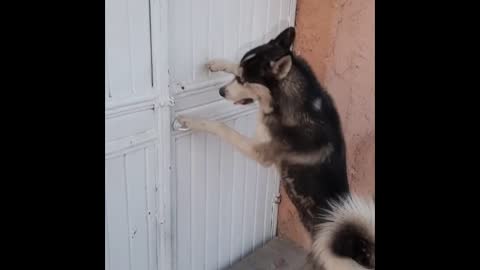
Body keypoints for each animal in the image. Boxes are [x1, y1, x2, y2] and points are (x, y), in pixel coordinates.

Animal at [177, 27, 376, 270]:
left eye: (243, 80)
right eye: (238, 76)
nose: (221, 91)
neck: (296, 101)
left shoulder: (259, 151)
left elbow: (221, 127)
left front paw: (192, 121)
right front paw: (218, 63)